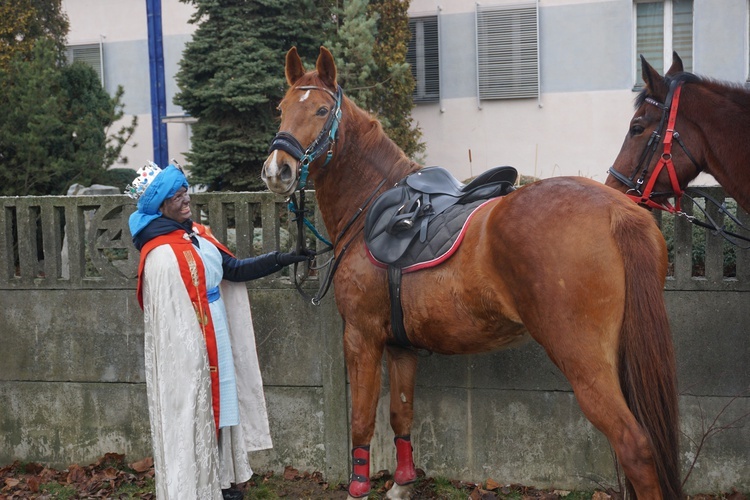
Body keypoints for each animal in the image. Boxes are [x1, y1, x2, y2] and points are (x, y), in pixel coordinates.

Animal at [262, 47, 680, 500]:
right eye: (281, 108)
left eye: (321, 110)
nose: (277, 170)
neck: (373, 206)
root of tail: (619, 212)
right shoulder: (402, 347)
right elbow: (400, 415)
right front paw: (402, 483)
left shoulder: (362, 335)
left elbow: (361, 419)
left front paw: (360, 486)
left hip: (583, 359)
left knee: (633, 445)